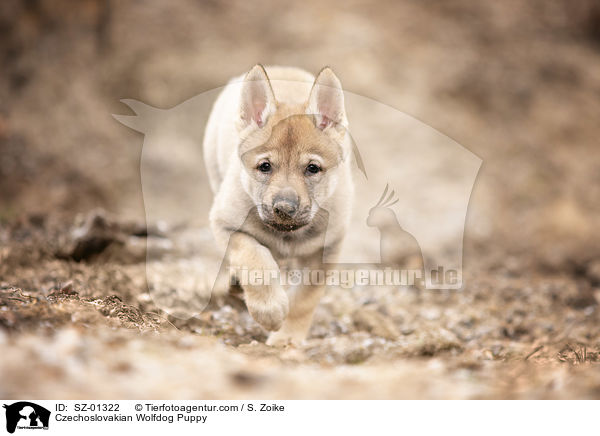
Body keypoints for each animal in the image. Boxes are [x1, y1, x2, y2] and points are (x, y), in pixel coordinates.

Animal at [204, 64, 354, 346]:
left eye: (312, 168)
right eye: (265, 166)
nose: (284, 208)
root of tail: (283, 67)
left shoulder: (326, 250)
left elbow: (304, 299)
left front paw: (287, 340)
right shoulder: (227, 226)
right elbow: (254, 259)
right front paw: (270, 310)